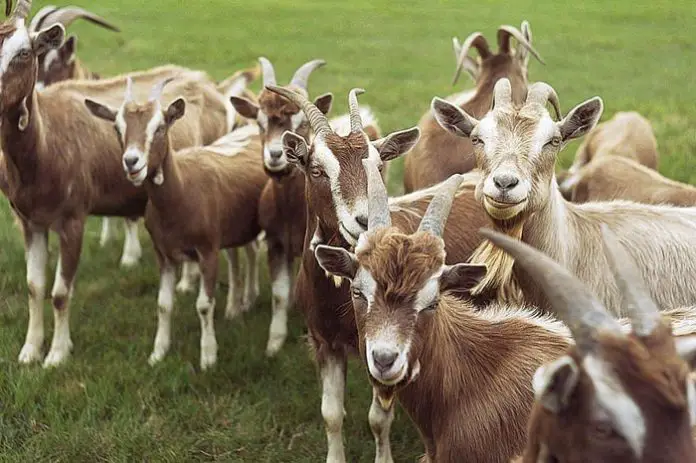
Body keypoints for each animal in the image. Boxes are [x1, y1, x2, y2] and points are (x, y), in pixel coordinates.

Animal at [0, 0, 237, 367]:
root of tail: (208, 86)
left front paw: (57, 354)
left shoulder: (73, 220)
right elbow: (34, 287)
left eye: (24, 52)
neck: (46, 142)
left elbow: (59, 292)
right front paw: (29, 351)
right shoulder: (31, 222)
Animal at [85, 80, 266, 370]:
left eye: (160, 126)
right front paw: (158, 353)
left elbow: (204, 304)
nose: (132, 162)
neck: (183, 192)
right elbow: (163, 304)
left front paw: (208, 356)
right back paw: (239, 305)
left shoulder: (207, 250)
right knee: (245, 253)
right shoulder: (164, 254)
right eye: (117, 127)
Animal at [265, 84, 494, 462]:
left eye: (379, 165)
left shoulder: (381, 344)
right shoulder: (324, 341)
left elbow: (378, 418)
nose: (363, 220)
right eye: (316, 170)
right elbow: (331, 414)